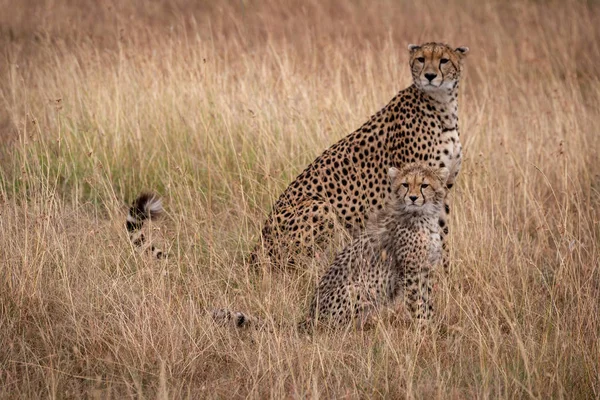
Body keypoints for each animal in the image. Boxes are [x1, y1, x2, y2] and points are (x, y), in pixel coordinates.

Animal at [213, 162, 448, 328]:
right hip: (357, 288)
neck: (422, 216)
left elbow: (427, 301)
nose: (413, 197)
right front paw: (423, 330)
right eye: (405, 184)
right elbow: (418, 303)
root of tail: (311, 316)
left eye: (424, 185)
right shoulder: (411, 270)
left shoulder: (424, 269)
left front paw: (431, 326)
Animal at [252, 41, 468, 272]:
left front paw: (444, 271)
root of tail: (255, 251)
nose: (429, 75)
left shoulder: (440, 188)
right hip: (319, 206)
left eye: (444, 60)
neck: (442, 108)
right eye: (421, 59)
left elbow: (442, 232)